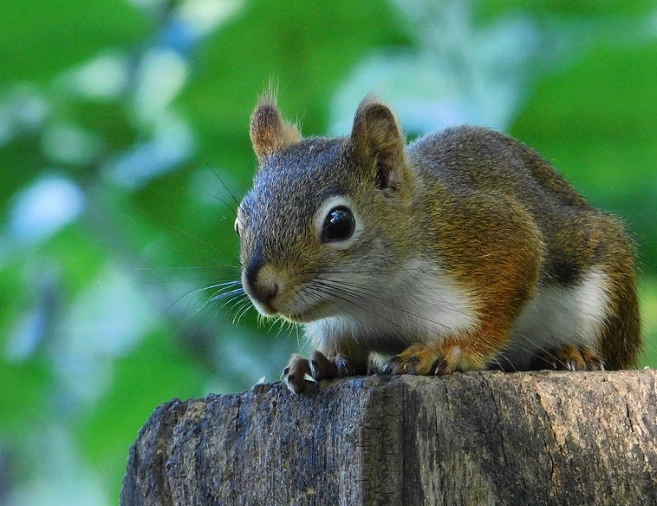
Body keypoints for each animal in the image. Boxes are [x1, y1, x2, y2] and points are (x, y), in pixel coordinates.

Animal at [235, 93, 641, 394]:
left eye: (339, 223)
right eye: (240, 222)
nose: (261, 289)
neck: (370, 299)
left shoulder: (494, 236)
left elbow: (501, 301)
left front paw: (448, 349)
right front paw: (324, 362)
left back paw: (570, 353)